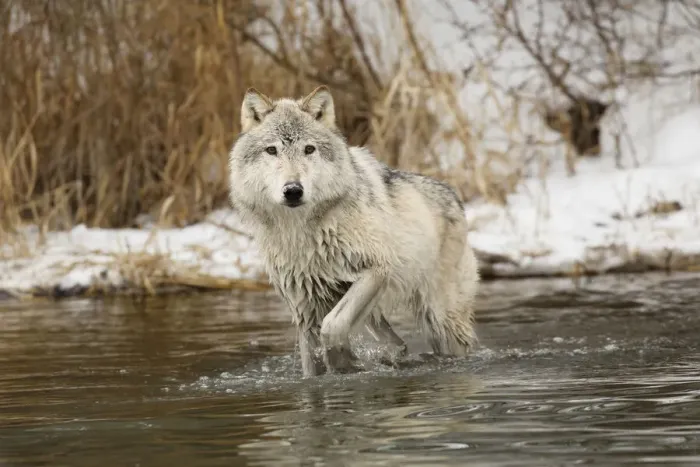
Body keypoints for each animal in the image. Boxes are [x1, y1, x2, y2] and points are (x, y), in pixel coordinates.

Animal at [228, 86, 480, 377]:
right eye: (272, 150)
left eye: (309, 149)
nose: (293, 190)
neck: (302, 233)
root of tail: (454, 196)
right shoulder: (304, 306)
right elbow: (312, 359)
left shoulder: (377, 269)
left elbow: (332, 326)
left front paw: (344, 362)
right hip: (376, 315)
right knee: (399, 343)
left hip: (439, 317)